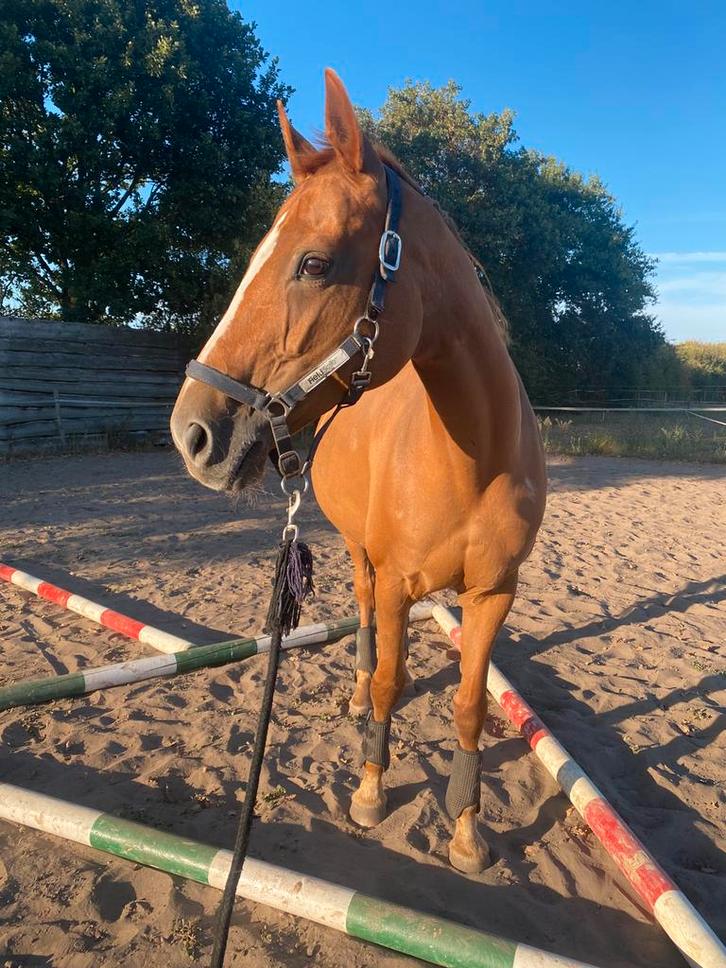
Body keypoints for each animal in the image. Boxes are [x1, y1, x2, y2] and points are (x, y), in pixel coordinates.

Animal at [170, 69, 546, 875]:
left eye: (313, 262)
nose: (192, 434)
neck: (473, 461)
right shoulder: (402, 584)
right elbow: (390, 681)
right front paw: (372, 789)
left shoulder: (494, 593)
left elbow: (469, 705)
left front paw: (466, 828)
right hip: (361, 553)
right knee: (367, 619)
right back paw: (355, 698)